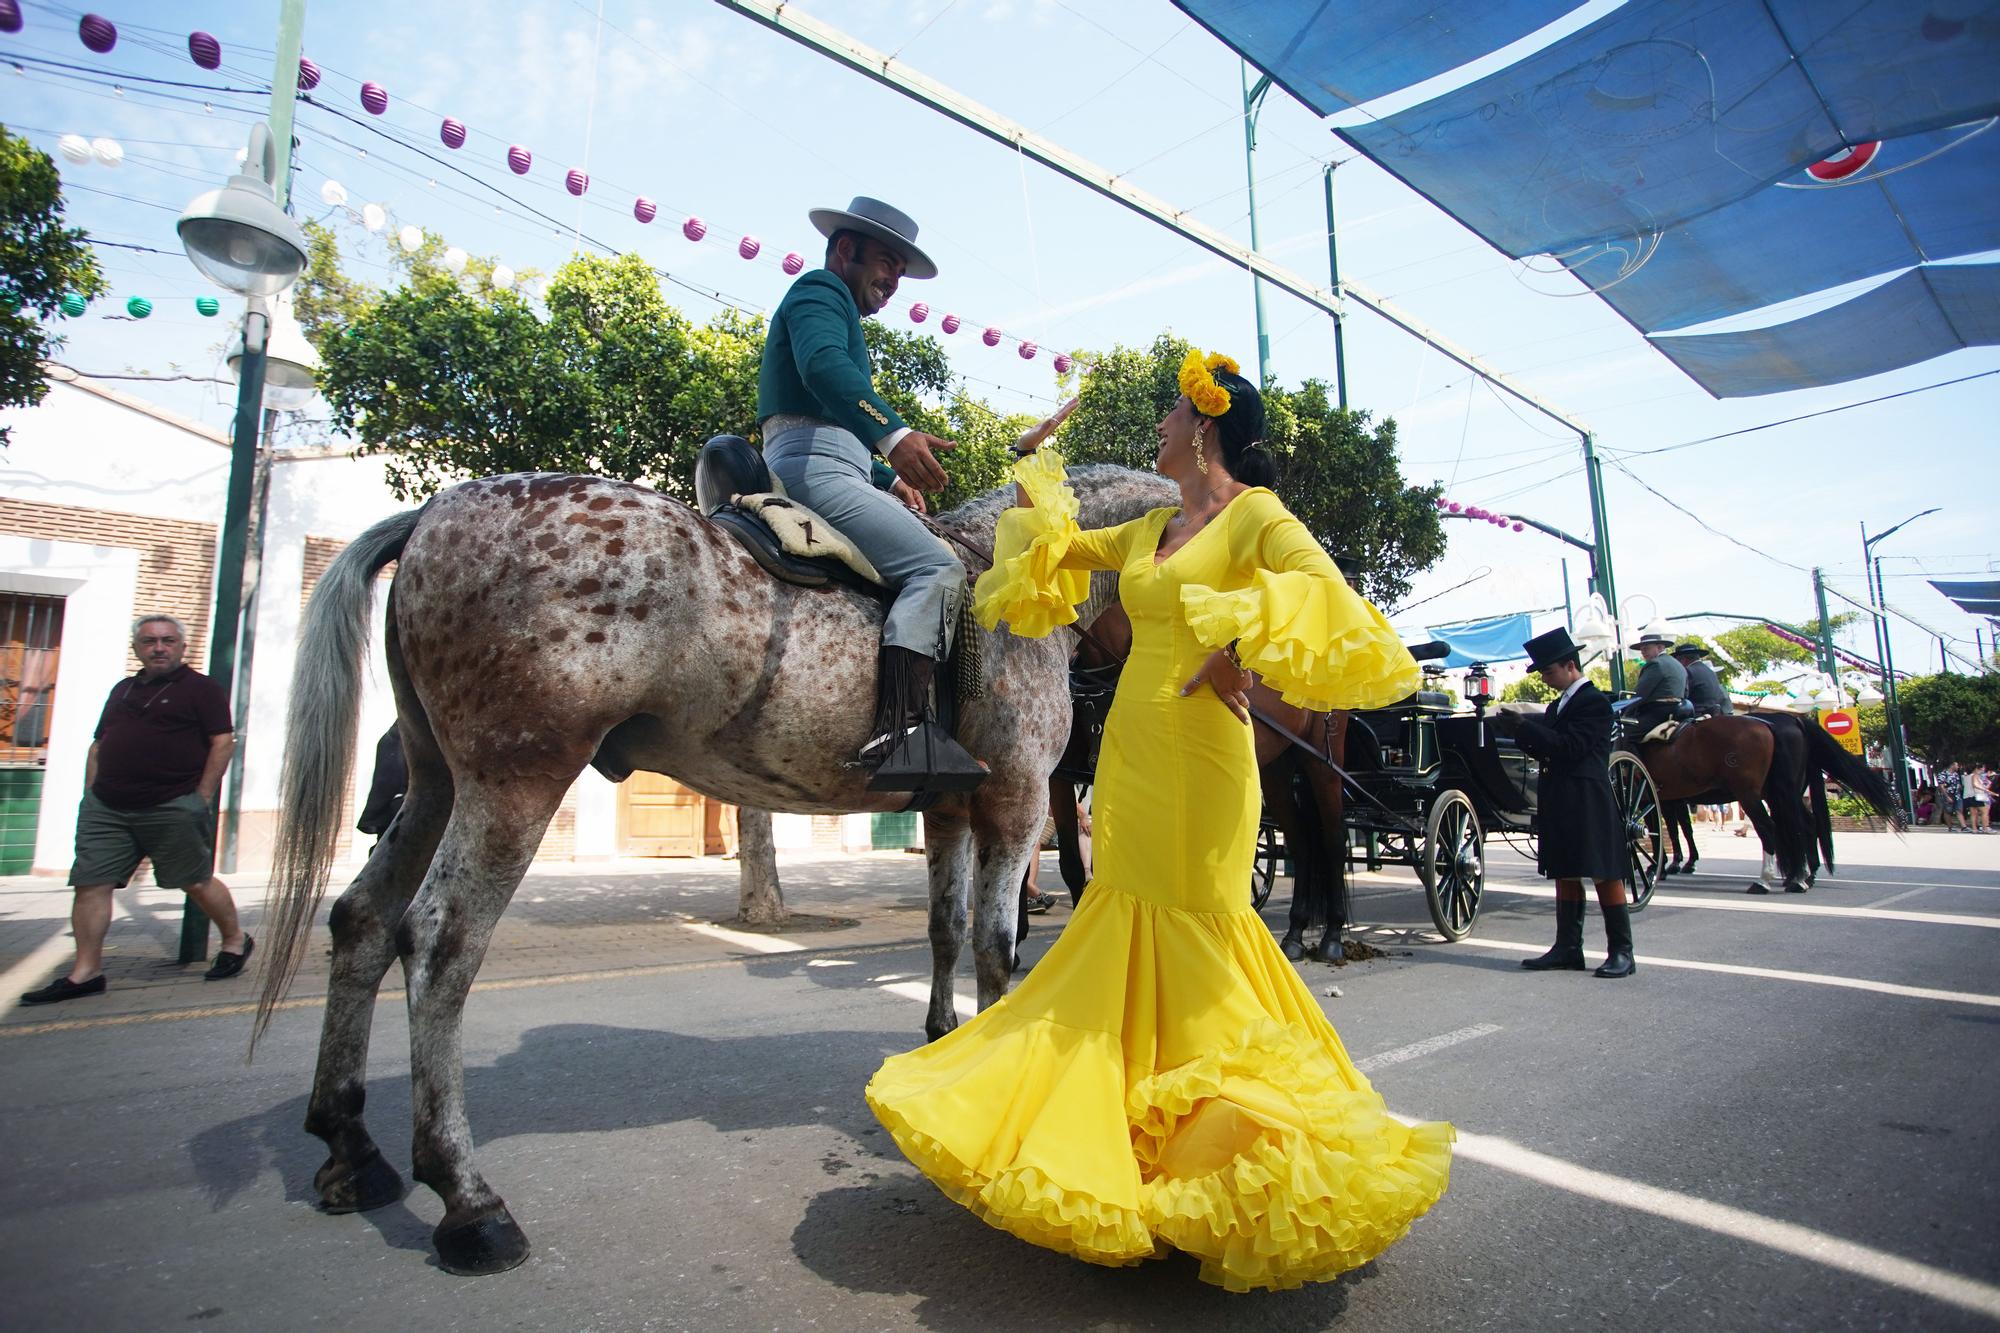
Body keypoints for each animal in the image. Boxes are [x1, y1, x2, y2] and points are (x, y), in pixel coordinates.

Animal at [258, 462, 1176, 1272]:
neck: (1017, 569)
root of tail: (433, 511)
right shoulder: (1015, 799)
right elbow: (995, 948)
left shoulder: (948, 808)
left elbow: (945, 930)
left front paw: (943, 1057)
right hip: (513, 780)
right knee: (440, 943)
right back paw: (466, 1198)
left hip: (434, 779)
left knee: (362, 918)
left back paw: (348, 1142)